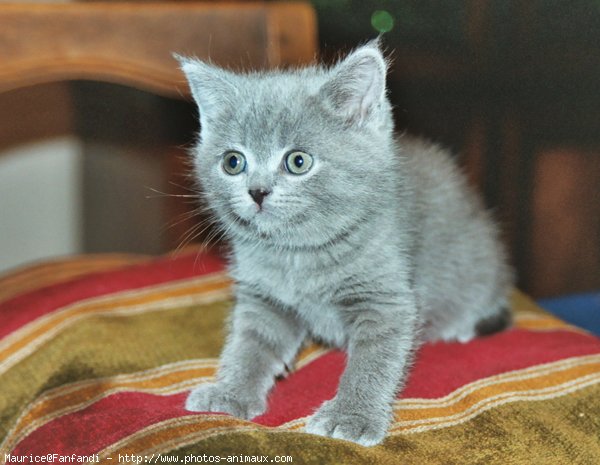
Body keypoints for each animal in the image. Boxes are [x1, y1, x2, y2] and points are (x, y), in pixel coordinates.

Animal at [177, 41, 510, 444]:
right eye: (232, 162)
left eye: (298, 161)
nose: (256, 191)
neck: (298, 254)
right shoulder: (264, 298)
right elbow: (251, 342)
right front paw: (231, 391)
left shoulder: (386, 300)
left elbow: (373, 360)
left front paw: (351, 416)